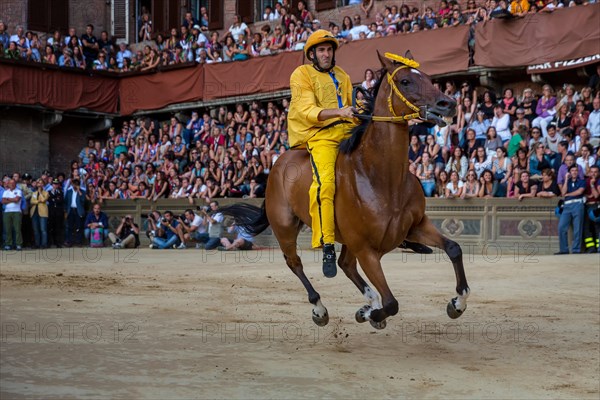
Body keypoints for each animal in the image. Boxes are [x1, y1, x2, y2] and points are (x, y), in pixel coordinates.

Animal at [223, 51, 472, 330]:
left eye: (428, 78)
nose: (448, 103)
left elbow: (454, 248)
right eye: (406, 81)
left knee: (346, 265)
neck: (381, 177)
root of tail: (279, 162)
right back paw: (321, 309)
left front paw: (457, 303)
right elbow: (391, 303)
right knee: (297, 263)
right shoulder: (366, 249)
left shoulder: (415, 226)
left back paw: (367, 302)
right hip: (285, 227)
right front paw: (372, 314)